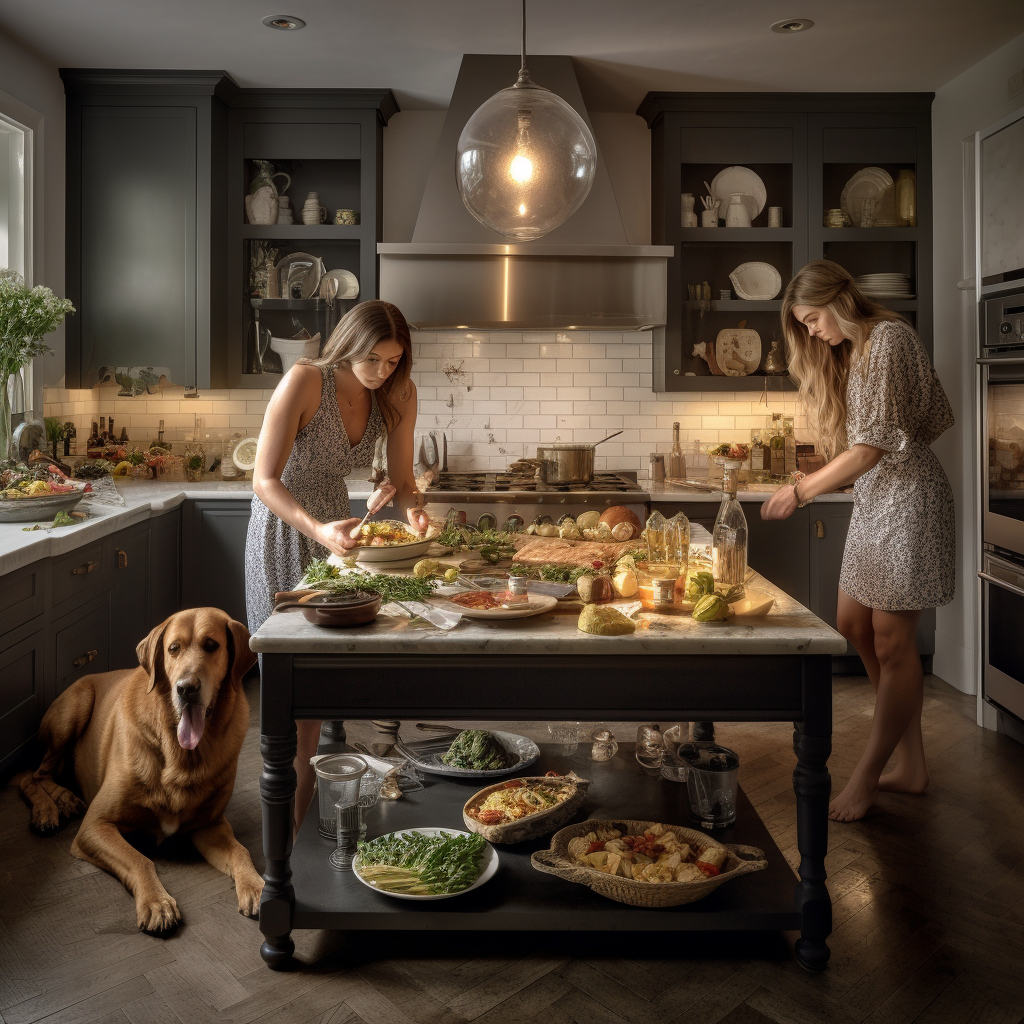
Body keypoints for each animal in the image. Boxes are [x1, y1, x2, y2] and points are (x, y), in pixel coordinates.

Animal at [17, 606, 264, 937]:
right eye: (174, 648)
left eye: (212, 645)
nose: (186, 689)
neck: (180, 754)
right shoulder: (95, 826)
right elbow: (140, 860)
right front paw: (157, 903)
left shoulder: (209, 825)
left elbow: (241, 851)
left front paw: (259, 888)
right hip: (74, 708)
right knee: (32, 776)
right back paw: (51, 807)